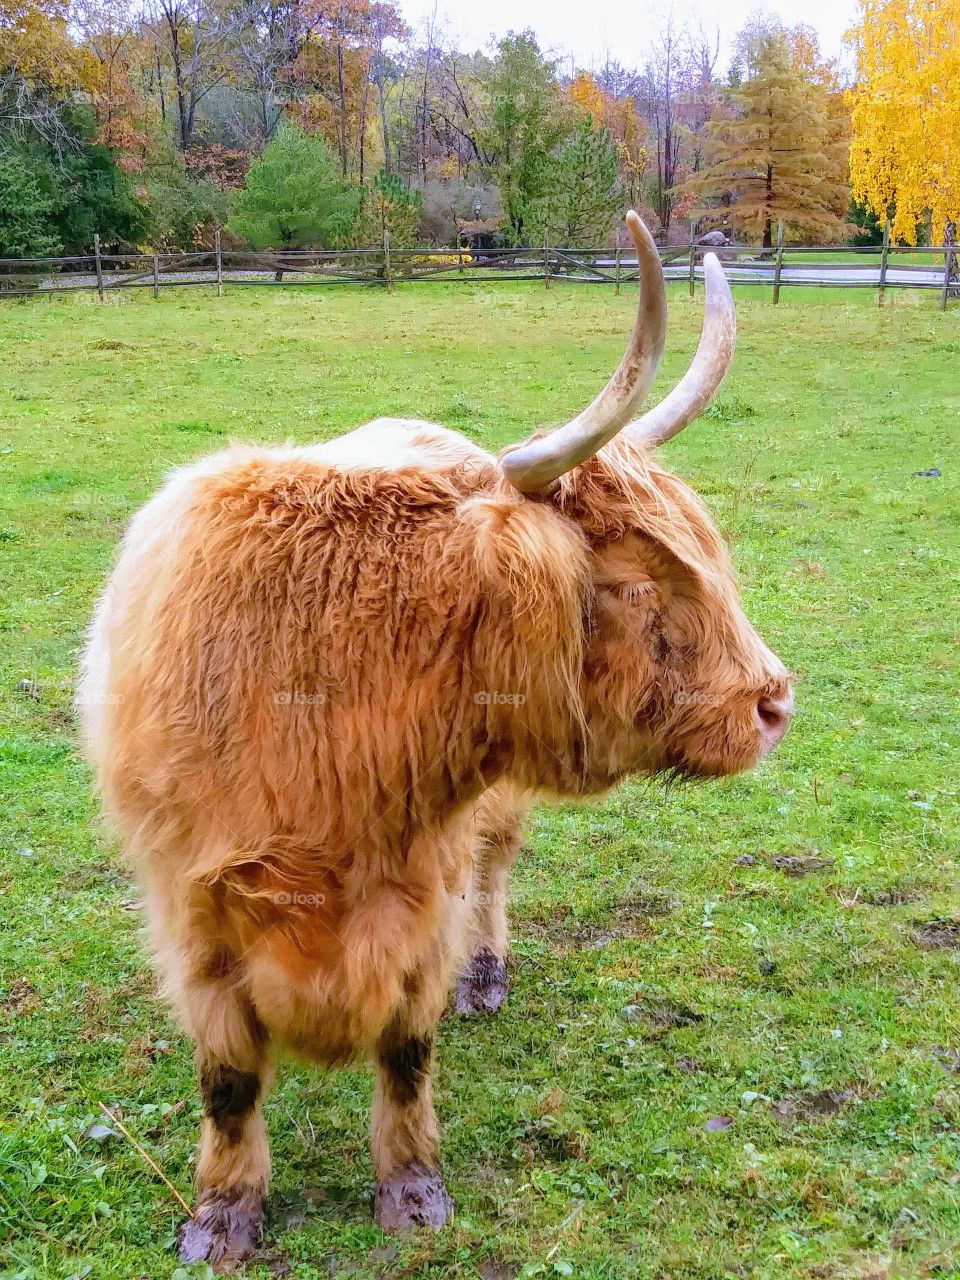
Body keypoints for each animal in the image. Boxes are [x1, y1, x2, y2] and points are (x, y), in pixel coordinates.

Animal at [78, 211, 793, 1269]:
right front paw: (223, 1214)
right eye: (633, 581)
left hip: (487, 833)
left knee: (496, 872)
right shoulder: (192, 911)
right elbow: (229, 1080)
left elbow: (407, 1054)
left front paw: (412, 1190)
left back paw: (486, 977)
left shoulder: (423, 896)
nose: (774, 704)